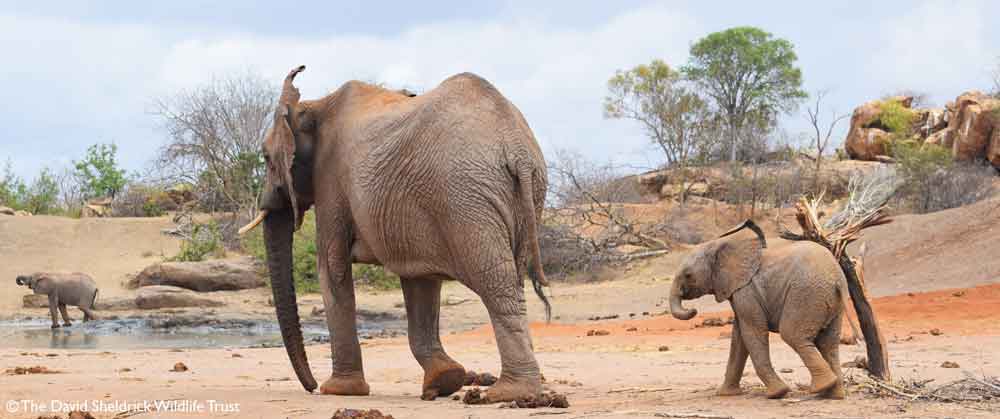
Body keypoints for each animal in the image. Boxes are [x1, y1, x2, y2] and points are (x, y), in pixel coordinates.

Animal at [238, 66, 549, 402]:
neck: (314, 105)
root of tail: (516, 149)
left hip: (466, 197)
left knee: (496, 282)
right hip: (520, 194)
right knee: (513, 282)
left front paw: (339, 390)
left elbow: (331, 268)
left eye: (266, 158)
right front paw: (444, 381)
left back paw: (509, 392)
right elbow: (420, 279)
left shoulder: (331, 178)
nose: (311, 386)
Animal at [668, 220, 847, 400]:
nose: (693, 310)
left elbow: (752, 332)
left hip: (805, 294)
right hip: (831, 303)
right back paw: (833, 394)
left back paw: (821, 387)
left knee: (792, 335)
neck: (720, 244)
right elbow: (739, 338)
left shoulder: (746, 290)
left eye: (688, 275)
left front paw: (777, 393)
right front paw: (725, 394)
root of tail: (836, 280)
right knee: (829, 344)